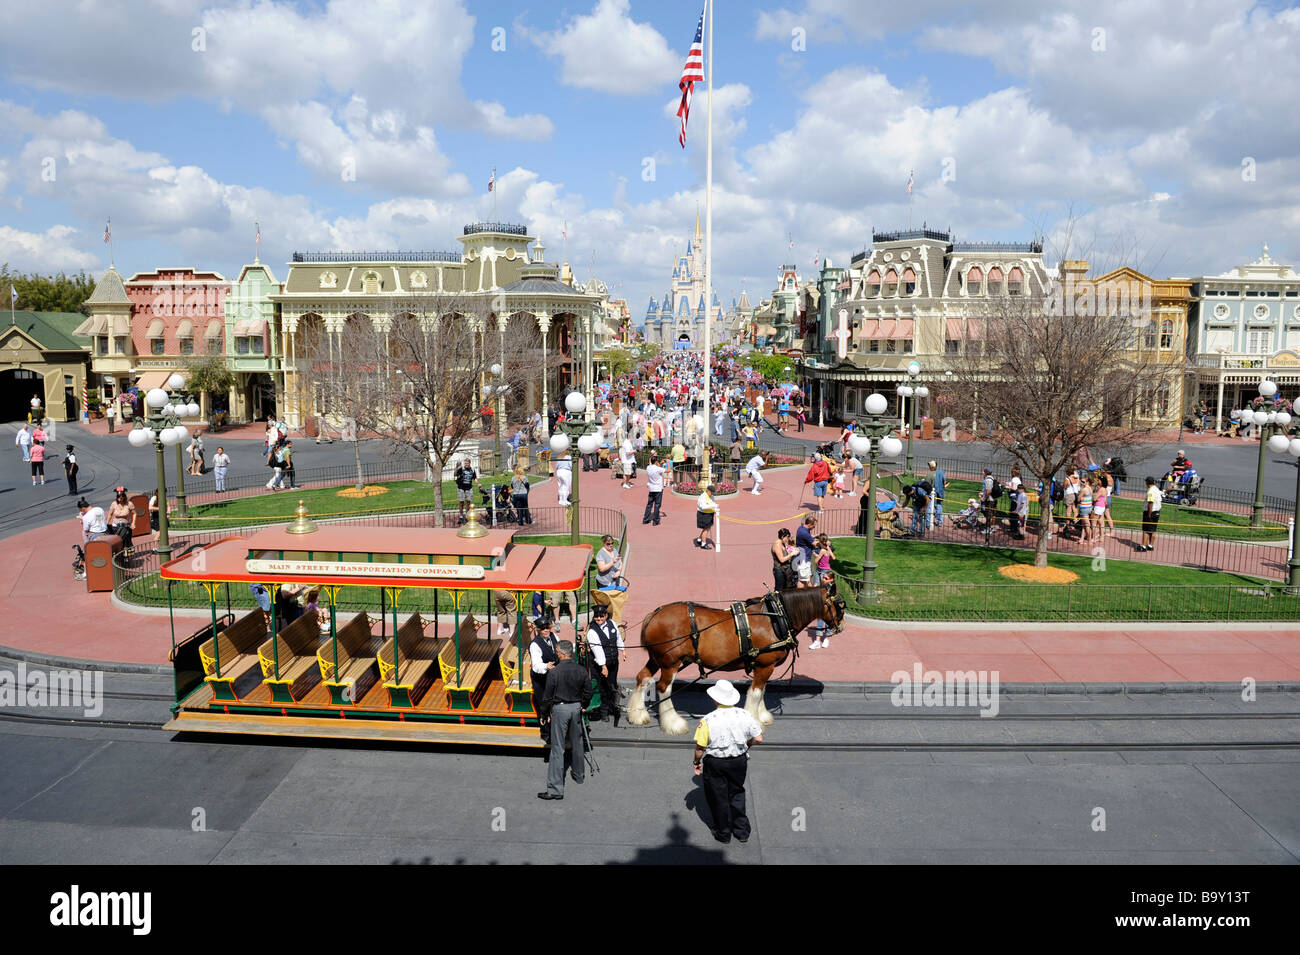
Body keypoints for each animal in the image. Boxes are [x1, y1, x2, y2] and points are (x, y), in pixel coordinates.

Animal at [626, 587, 847, 738]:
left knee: (643, 678)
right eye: (840, 605)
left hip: (656, 659)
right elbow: (756, 692)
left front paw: (763, 715)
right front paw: (754, 722)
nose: (841, 627)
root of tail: (654, 614)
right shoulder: (764, 665)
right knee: (664, 688)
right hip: (670, 663)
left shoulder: (763, 667)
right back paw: (674, 723)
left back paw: (637, 715)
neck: (777, 617)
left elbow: (762, 691)